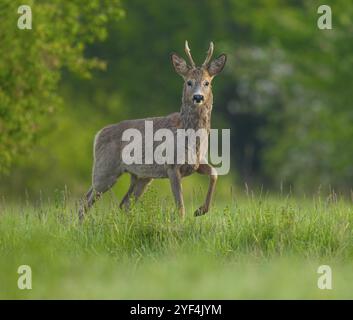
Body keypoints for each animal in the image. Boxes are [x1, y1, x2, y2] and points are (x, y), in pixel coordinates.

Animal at [78, 40, 227, 220]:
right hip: (105, 169)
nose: (198, 97)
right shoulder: (172, 165)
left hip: (141, 176)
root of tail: (98, 134)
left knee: (123, 204)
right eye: (189, 82)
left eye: (207, 82)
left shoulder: (197, 161)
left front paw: (200, 210)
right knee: (85, 202)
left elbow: (215, 173)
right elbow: (180, 207)